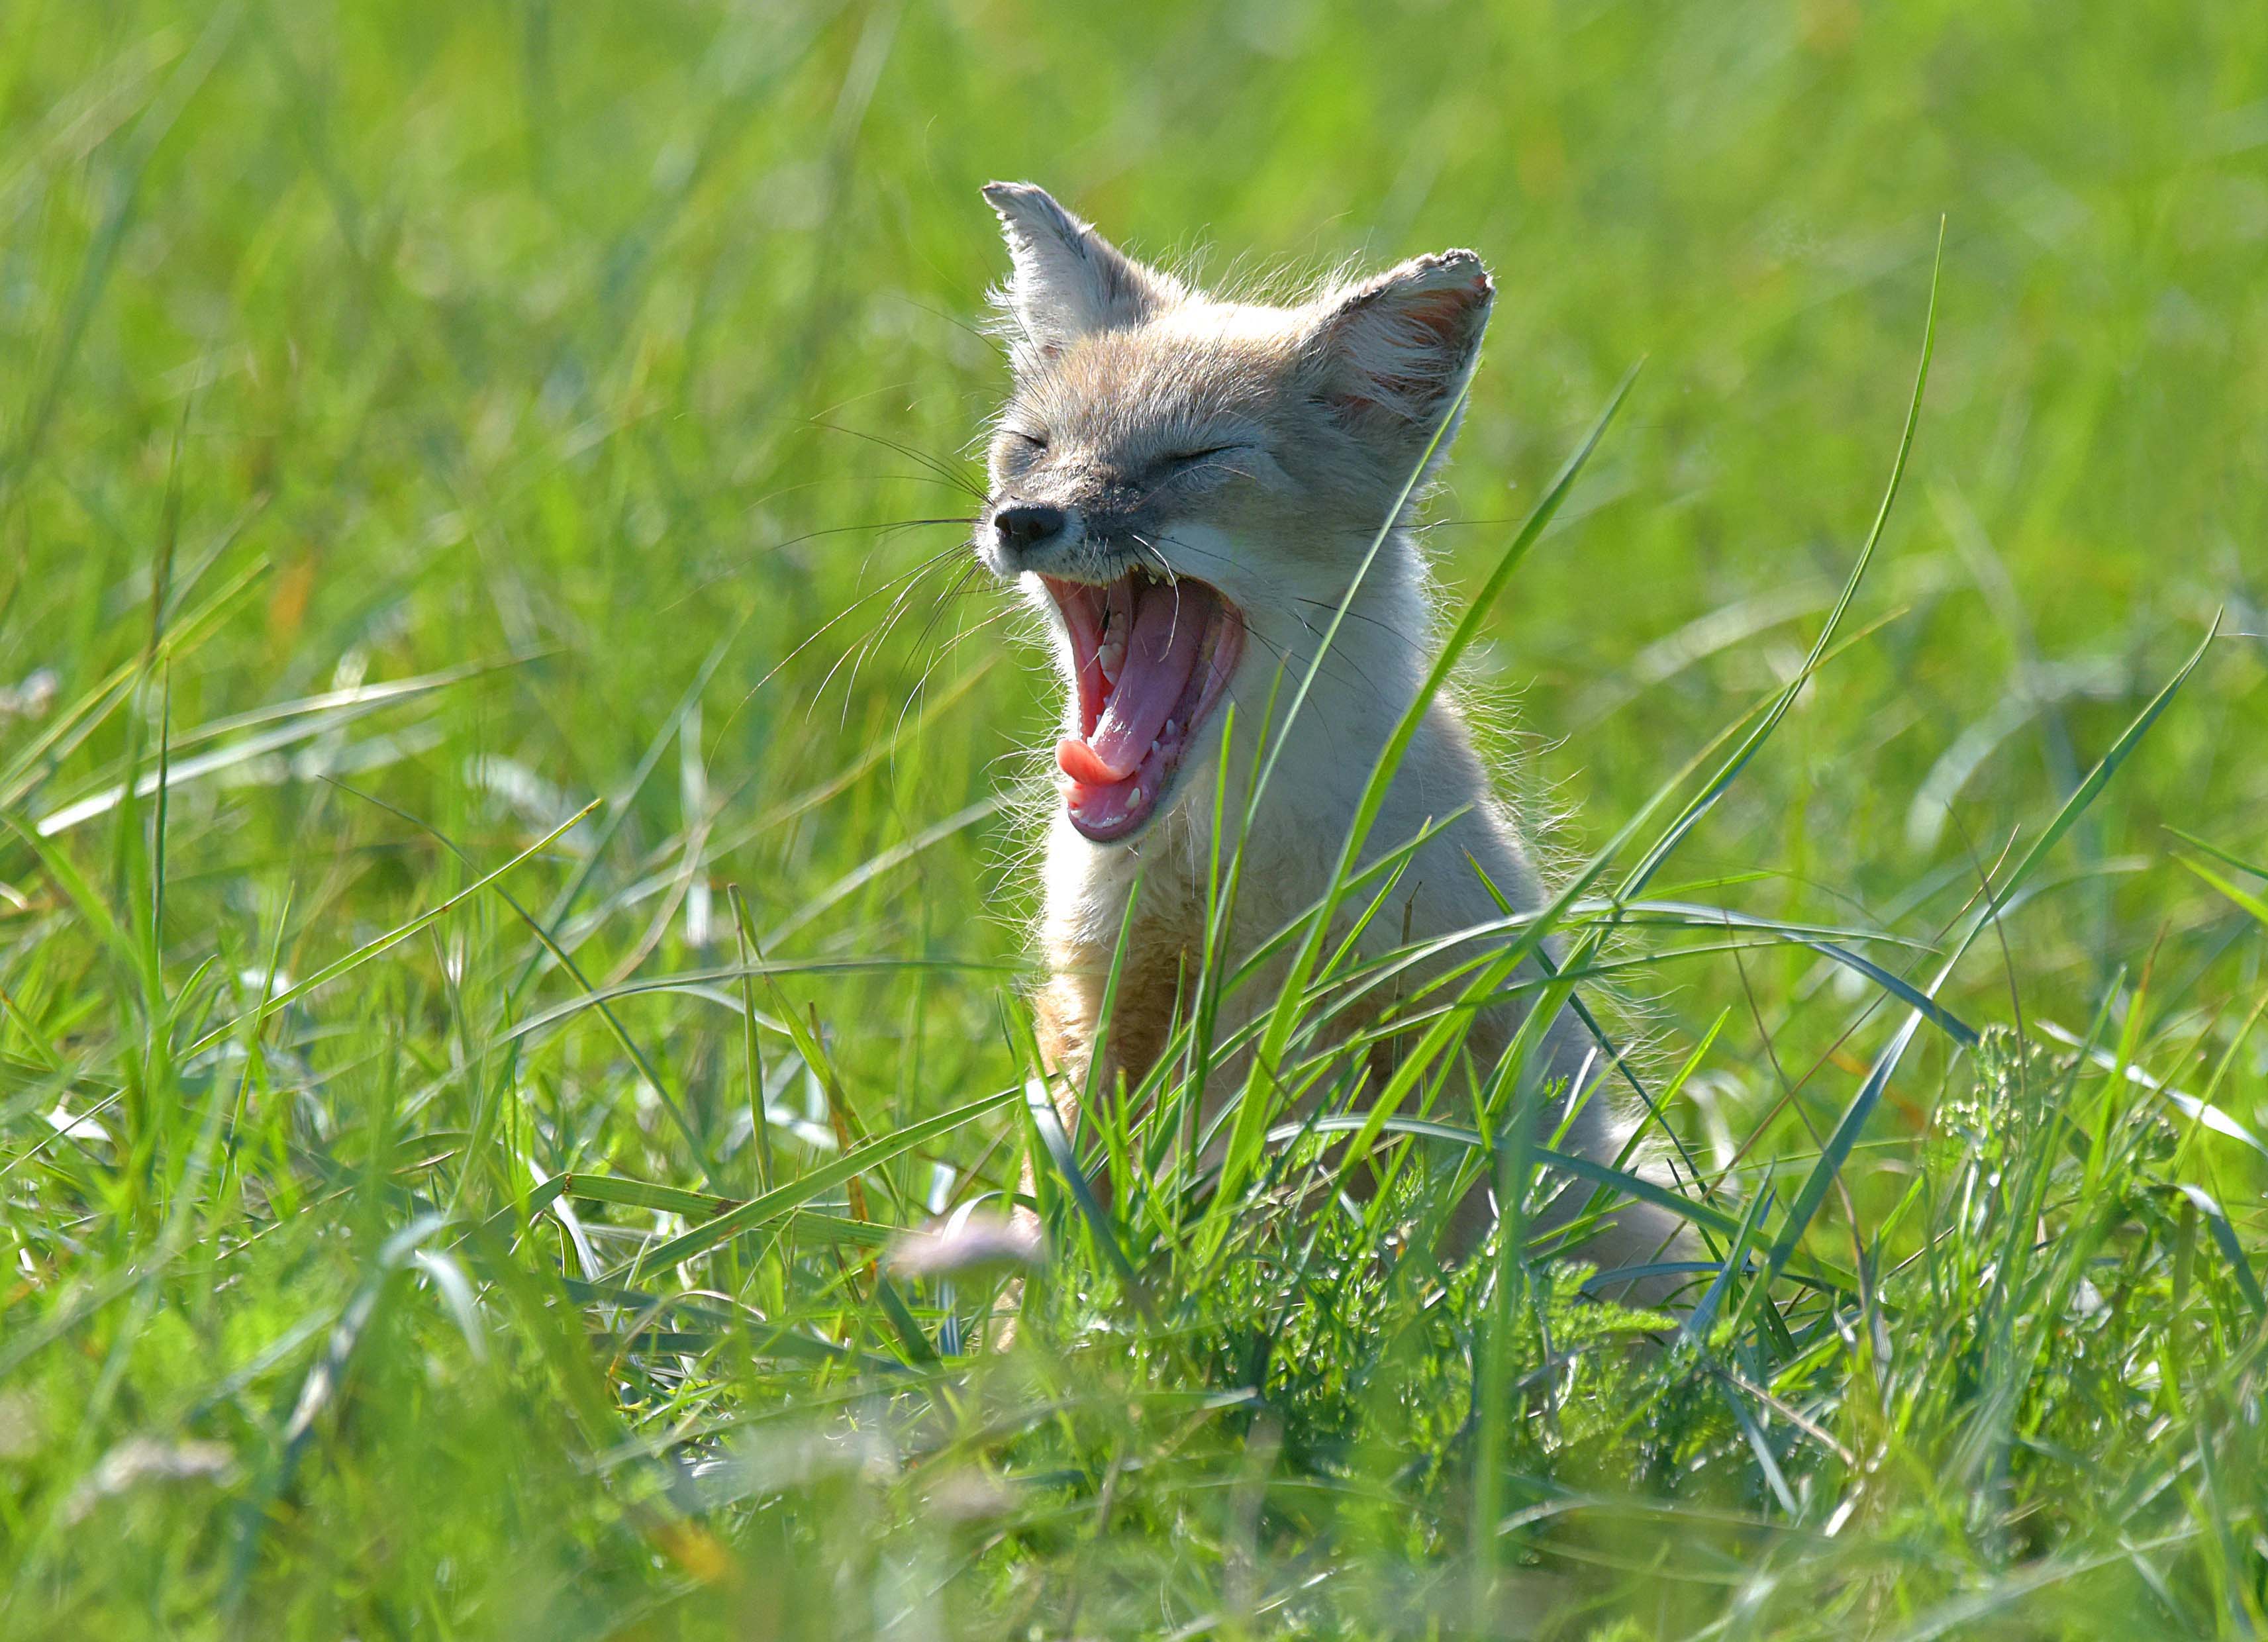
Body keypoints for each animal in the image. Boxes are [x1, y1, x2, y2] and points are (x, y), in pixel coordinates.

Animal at [970, 182, 1687, 1297]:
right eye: (1034, 445)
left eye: (1196, 459)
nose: (1022, 521)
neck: (1232, 866)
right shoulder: (1100, 1004)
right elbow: (1063, 1253)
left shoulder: (1429, 1034)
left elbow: (1400, 1254)